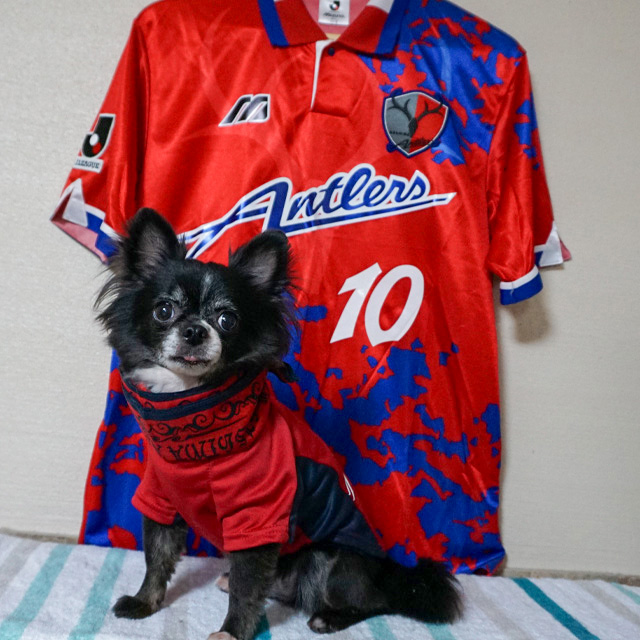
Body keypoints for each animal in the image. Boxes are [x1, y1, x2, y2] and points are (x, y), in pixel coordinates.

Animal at [95, 208, 461, 640]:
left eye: (228, 319)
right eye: (164, 311)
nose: (195, 330)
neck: (194, 416)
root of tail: (383, 575)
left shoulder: (258, 515)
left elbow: (247, 585)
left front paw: (231, 631)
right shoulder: (161, 500)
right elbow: (157, 558)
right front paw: (145, 603)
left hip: (330, 561)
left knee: (369, 603)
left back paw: (329, 617)